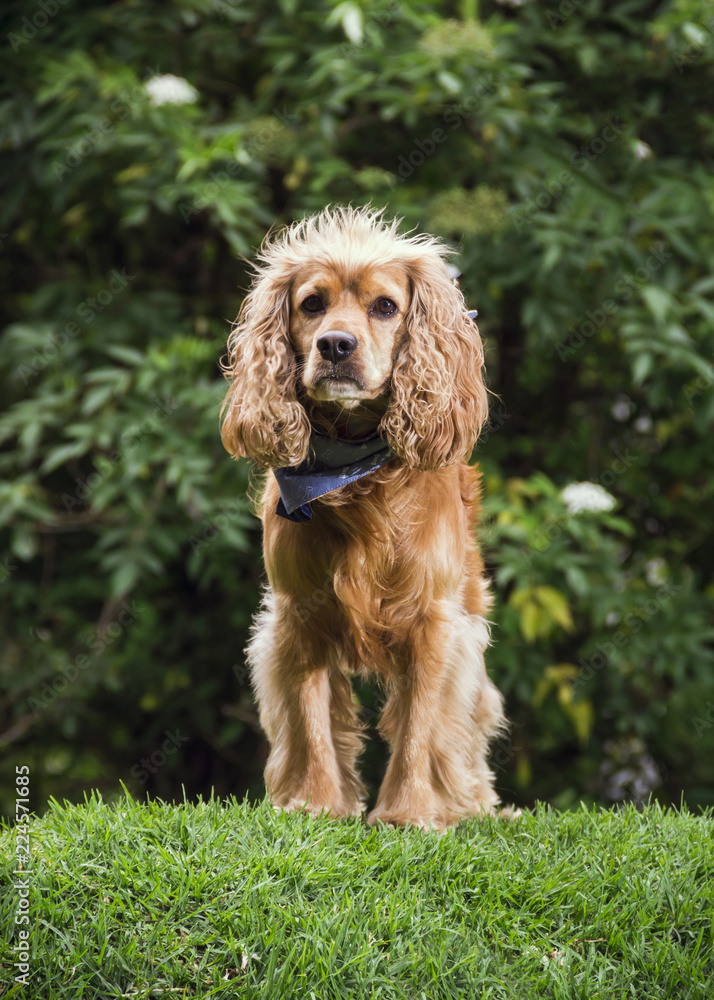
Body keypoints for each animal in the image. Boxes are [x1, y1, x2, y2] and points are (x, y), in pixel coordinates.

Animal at [220, 203, 504, 828]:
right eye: (311, 304)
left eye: (385, 307)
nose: (335, 345)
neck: (355, 471)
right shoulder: (298, 612)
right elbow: (311, 720)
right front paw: (315, 803)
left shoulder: (433, 618)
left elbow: (422, 722)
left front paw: (409, 814)